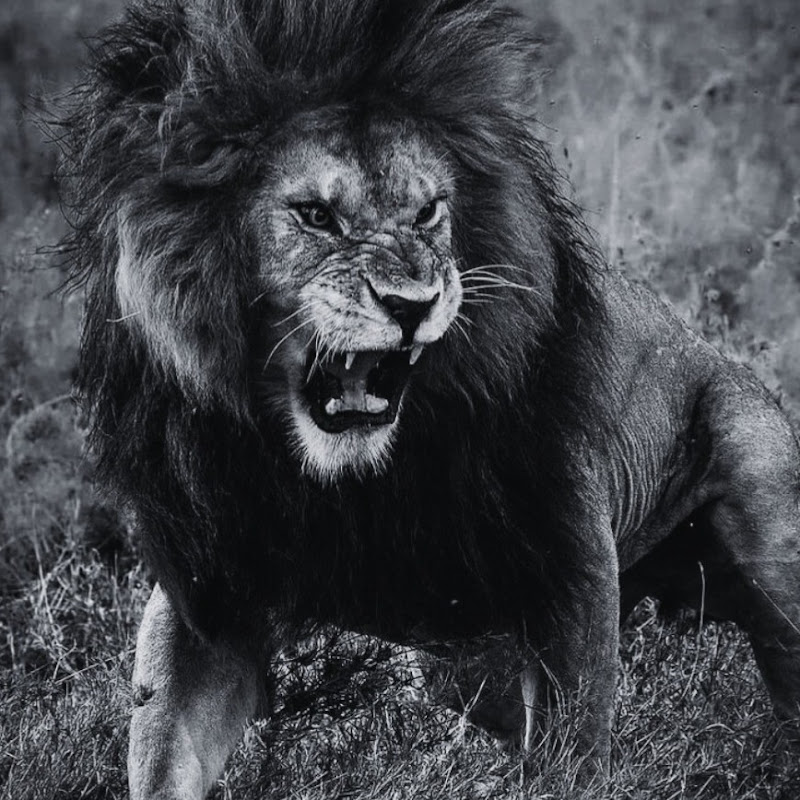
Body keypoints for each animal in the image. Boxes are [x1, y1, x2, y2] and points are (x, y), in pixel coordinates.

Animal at [61, 0, 800, 797]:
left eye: (429, 213)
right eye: (315, 215)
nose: (411, 304)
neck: (350, 483)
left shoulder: (566, 566)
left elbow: (572, 752)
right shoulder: (212, 592)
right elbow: (164, 750)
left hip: (763, 524)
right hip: (460, 663)